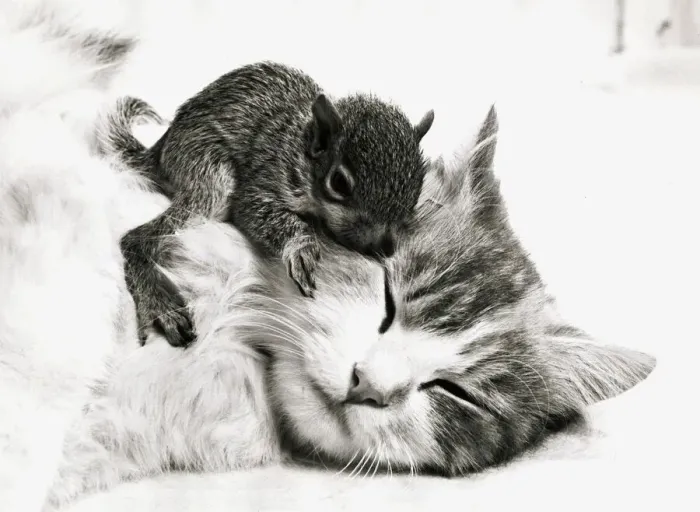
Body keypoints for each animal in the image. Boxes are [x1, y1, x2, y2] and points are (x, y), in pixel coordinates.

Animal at [100, 61, 435, 348]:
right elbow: (258, 213)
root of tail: (160, 152)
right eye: (339, 183)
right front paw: (301, 248)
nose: (383, 248)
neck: (301, 148)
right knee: (136, 239)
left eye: (418, 184)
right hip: (208, 174)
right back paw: (160, 308)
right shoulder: (265, 177)